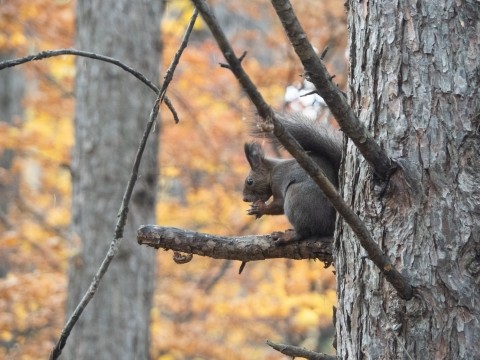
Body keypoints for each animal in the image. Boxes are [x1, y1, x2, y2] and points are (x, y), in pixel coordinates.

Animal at [244, 112, 342, 242]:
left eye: (250, 181)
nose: (244, 199)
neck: (271, 171)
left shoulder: (278, 180)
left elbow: (279, 204)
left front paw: (260, 209)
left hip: (297, 196)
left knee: (304, 232)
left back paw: (286, 236)